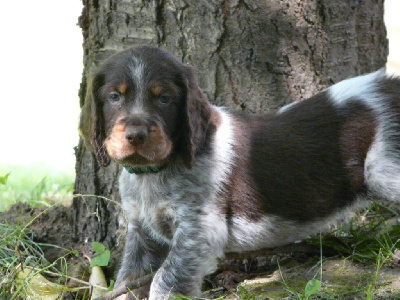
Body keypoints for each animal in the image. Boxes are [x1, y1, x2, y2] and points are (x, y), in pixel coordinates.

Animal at [79, 45, 400, 298]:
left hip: (385, 172)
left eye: (164, 99)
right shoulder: (142, 231)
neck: (154, 172)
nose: (136, 135)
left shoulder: (200, 229)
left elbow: (165, 279)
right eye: (114, 97)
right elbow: (128, 280)